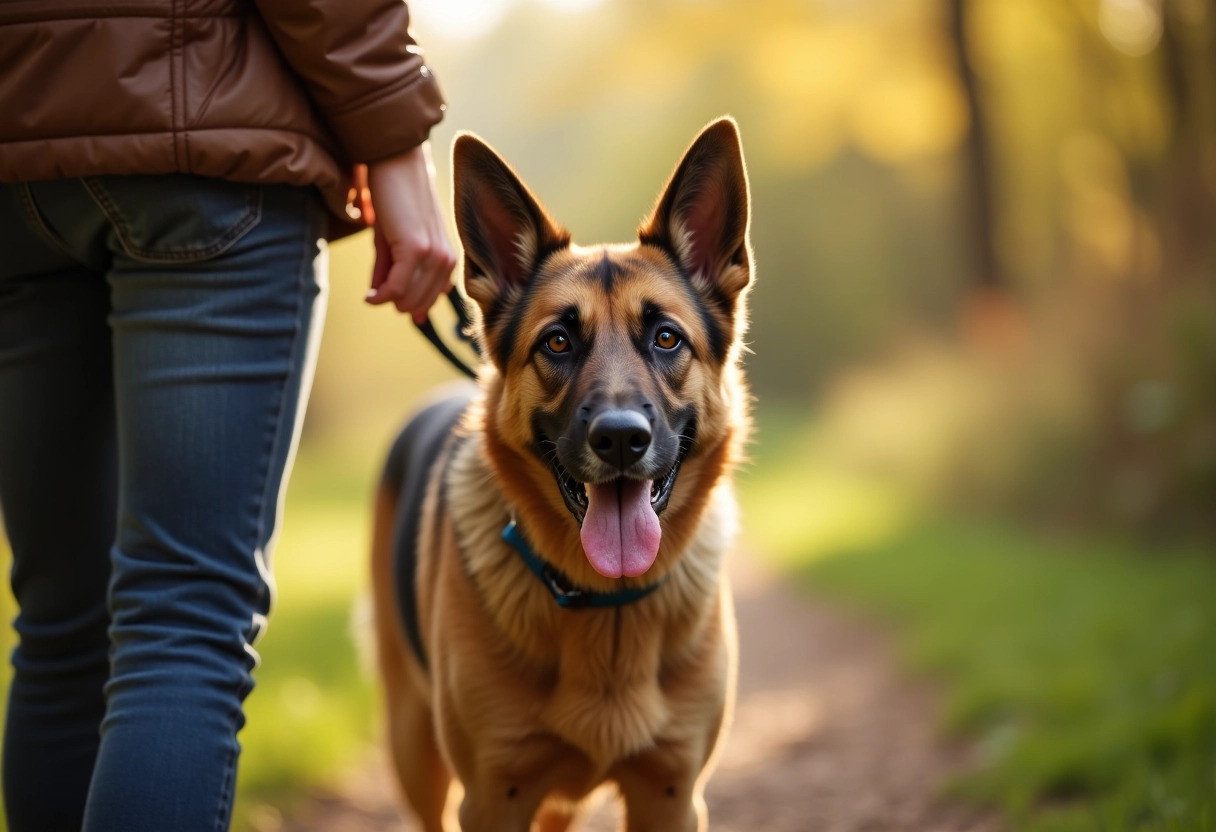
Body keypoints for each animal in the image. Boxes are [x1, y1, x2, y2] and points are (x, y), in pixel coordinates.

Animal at [369, 118, 749, 832]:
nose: (621, 439)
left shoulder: (671, 796)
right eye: (557, 342)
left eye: (666, 338)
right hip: (413, 747)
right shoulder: (493, 797)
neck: (607, 610)